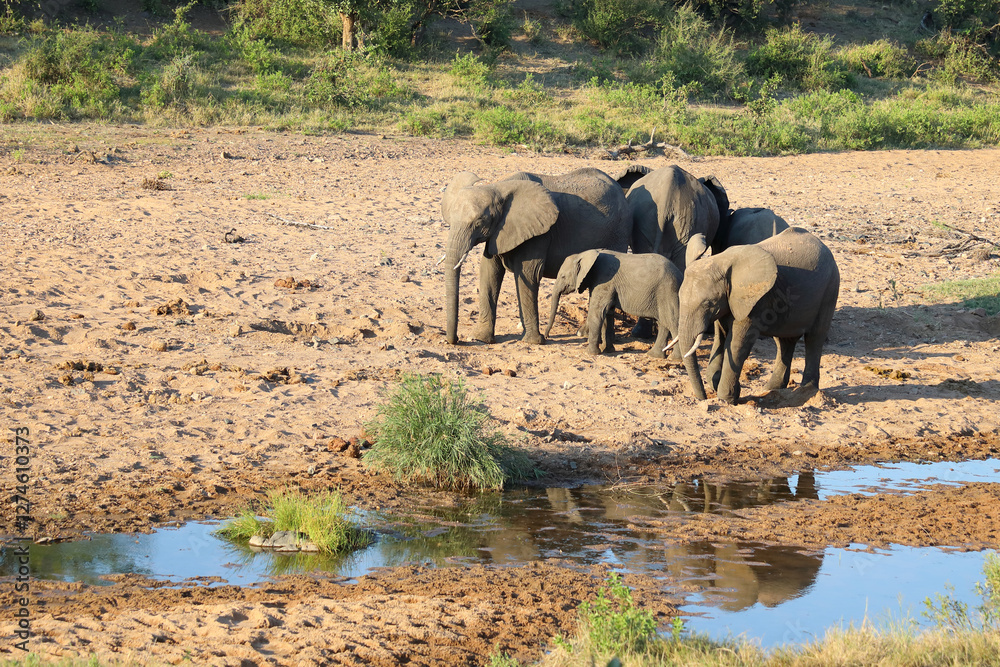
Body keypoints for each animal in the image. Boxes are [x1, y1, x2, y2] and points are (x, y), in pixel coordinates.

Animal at [442, 168, 631, 345]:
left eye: (479, 223)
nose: (455, 339)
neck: (498, 187)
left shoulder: (539, 233)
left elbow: (528, 274)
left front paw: (533, 341)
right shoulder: (498, 231)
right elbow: (489, 272)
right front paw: (480, 339)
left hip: (618, 232)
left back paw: (585, 334)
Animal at [544, 249, 682, 358]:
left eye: (563, 276)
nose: (546, 337)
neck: (585, 254)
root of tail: (680, 274)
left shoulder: (604, 281)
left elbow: (597, 313)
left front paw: (591, 353)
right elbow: (607, 314)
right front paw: (607, 350)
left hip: (667, 291)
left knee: (672, 321)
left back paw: (675, 359)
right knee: (664, 323)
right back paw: (654, 355)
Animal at [672, 227, 840, 403]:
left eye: (708, 303)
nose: (703, 398)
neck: (720, 260)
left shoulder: (756, 300)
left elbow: (737, 344)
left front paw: (727, 398)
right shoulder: (729, 301)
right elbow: (721, 336)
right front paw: (726, 388)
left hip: (830, 289)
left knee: (814, 338)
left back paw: (806, 391)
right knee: (784, 342)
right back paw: (771, 389)